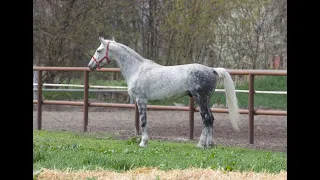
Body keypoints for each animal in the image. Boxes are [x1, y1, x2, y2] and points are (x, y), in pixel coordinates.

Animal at [88, 37, 240, 148]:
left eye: (98, 50)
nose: (90, 66)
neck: (137, 69)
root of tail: (213, 70)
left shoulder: (141, 100)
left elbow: (143, 121)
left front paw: (143, 142)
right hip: (206, 100)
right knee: (210, 119)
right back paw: (209, 144)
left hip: (200, 99)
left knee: (206, 119)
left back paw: (201, 145)